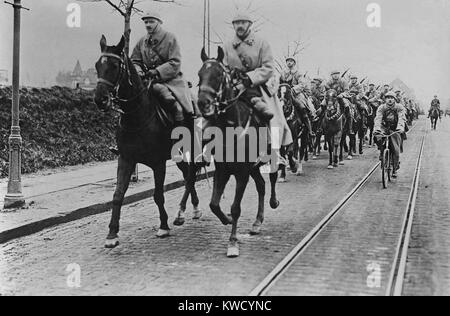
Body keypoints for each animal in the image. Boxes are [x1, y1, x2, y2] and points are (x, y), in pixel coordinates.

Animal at [93, 35, 199, 248]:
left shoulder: (158, 163)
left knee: (191, 175)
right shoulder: (125, 159)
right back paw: (186, 211)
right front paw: (112, 234)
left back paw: (187, 212)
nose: (100, 100)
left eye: (115, 66)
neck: (137, 116)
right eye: (97, 66)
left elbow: (158, 195)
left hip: (188, 148)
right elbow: (117, 195)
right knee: (187, 174)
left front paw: (164, 226)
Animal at [199, 46, 280, 256]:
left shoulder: (241, 173)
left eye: (219, 75)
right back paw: (257, 222)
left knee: (273, 178)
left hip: (271, 157)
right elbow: (214, 204)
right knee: (261, 185)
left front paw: (233, 242)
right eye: (199, 74)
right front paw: (226, 219)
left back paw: (273, 202)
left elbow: (236, 207)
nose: (203, 103)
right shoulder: (223, 170)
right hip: (254, 168)